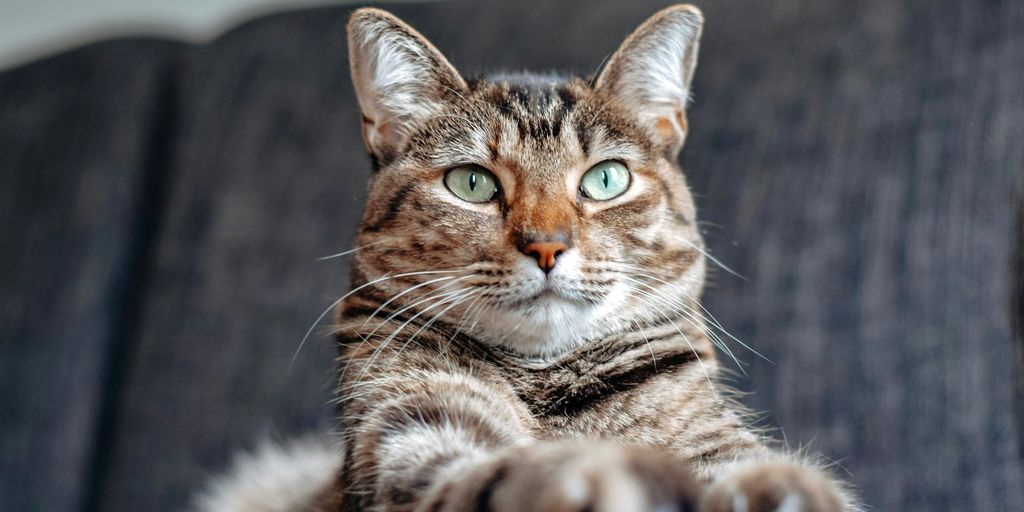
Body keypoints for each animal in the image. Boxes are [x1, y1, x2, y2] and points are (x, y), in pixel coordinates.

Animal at [195, 4, 860, 512]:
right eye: (471, 183)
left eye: (606, 179)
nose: (547, 244)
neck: (545, 382)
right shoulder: (411, 432)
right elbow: (488, 477)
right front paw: (597, 477)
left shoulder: (709, 438)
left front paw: (784, 489)